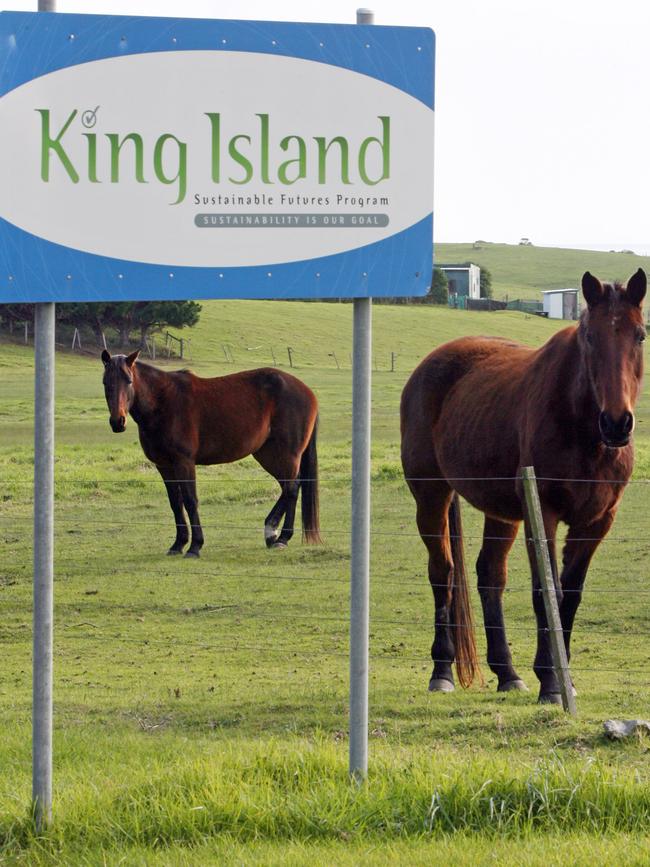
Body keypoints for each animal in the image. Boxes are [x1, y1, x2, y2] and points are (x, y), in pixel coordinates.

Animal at [100, 350, 318, 560]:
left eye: (128, 380)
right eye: (105, 382)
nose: (118, 422)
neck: (163, 402)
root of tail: (308, 392)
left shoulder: (184, 462)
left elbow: (190, 501)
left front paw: (195, 546)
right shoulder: (164, 466)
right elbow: (175, 503)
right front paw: (178, 544)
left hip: (285, 455)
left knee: (291, 488)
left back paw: (279, 536)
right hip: (268, 455)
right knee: (289, 487)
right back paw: (275, 534)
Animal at [400, 268, 644, 700]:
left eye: (641, 335)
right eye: (590, 336)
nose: (617, 423)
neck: (584, 430)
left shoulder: (597, 522)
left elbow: (571, 595)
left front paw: (565, 680)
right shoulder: (542, 513)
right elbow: (547, 592)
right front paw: (551, 682)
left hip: (501, 512)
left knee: (489, 577)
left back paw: (508, 673)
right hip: (431, 496)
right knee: (442, 572)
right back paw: (442, 671)